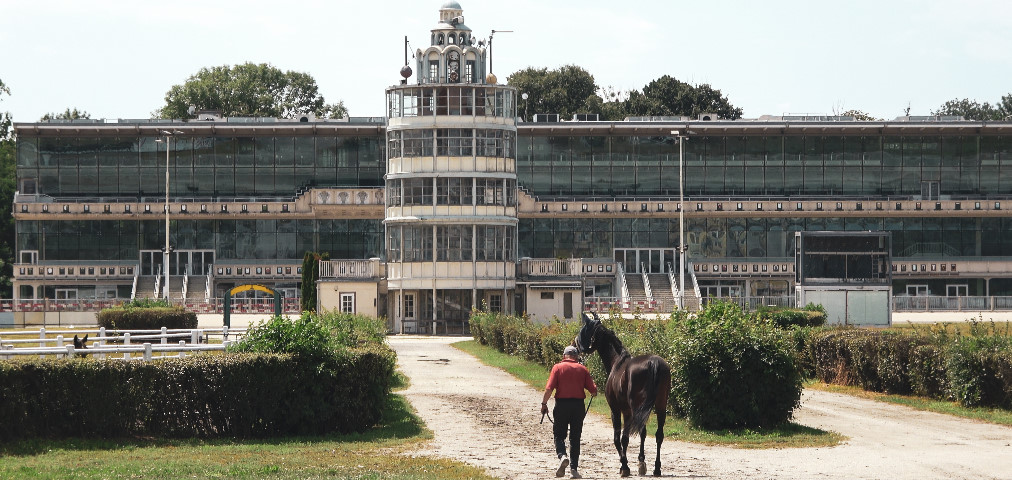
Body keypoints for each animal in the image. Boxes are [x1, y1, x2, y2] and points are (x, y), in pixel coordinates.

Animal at [574, 311, 667, 475]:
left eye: (584, 329)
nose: (575, 346)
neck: (616, 363)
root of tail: (654, 363)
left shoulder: (617, 410)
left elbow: (619, 438)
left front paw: (624, 466)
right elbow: (636, 435)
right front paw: (636, 463)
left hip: (635, 408)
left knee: (632, 434)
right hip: (661, 406)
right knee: (658, 435)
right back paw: (656, 468)